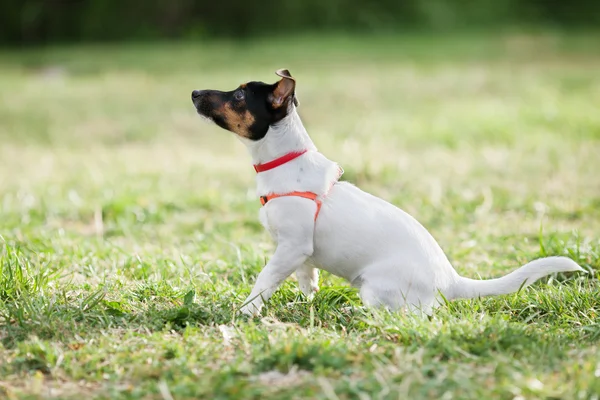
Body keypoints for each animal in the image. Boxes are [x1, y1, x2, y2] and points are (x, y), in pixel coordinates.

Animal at [192, 69, 584, 316]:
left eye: (238, 95)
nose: (194, 92)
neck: (284, 162)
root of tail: (452, 282)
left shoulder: (291, 246)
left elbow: (264, 280)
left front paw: (246, 311)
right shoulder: (296, 250)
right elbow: (304, 275)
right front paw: (306, 299)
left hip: (376, 287)